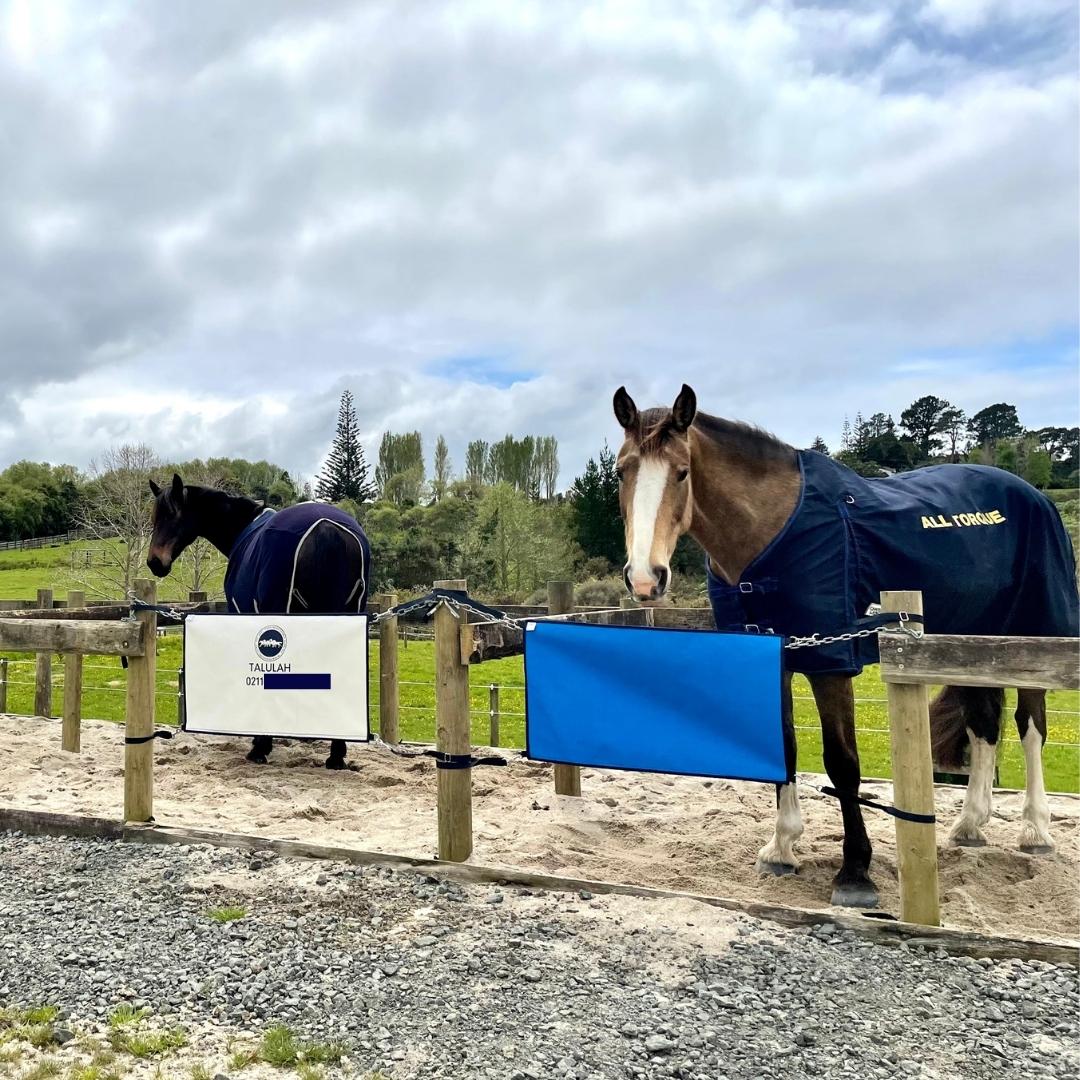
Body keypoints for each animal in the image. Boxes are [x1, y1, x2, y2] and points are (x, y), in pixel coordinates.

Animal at [613, 384, 1075, 907]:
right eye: (622, 471)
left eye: (682, 471)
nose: (645, 579)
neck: (770, 533)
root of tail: (1032, 494)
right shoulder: (776, 660)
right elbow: (786, 747)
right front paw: (781, 847)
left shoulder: (831, 662)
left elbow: (842, 763)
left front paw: (855, 872)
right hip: (968, 647)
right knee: (984, 726)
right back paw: (969, 826)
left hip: (1032, 642)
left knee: (1030, 727)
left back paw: (1035, 832)